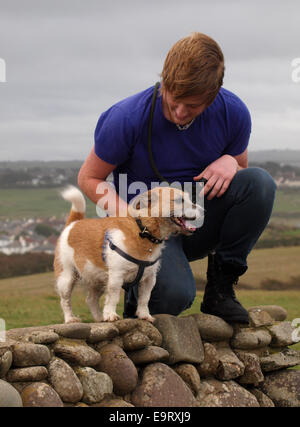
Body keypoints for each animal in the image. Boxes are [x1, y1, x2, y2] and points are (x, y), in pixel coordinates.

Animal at [54, 186, 204, 324]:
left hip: (97, 278)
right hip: (67, 278)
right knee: (64, 301)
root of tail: (73, 224)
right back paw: (70, 318)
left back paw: (99, 318)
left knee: (91, 300)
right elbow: (113, 297)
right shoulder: (116, 277)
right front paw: (111, 315)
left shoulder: (149, 279)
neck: (143, 231)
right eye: (179, 200)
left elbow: (144, 299)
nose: (203, 210)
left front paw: (144, 315)